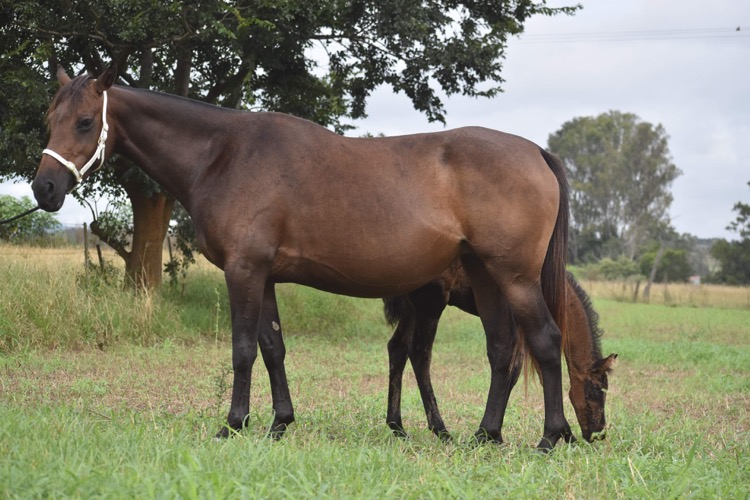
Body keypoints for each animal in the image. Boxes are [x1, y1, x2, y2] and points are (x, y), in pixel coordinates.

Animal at [32, 64, 573, 450]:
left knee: (545, 340)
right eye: (50, 121)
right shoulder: (264, 275)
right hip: (486, 275)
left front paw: (232, 425)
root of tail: (535, 152)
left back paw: (550, 437)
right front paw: (279, 424)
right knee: (502, 349)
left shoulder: (244, 271)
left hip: (514, 276)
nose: (44, 189)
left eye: (85, 122)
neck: (224, 154)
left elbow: (243, 350)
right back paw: (486, 435)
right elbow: (273, 348)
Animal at [383, 265, 617, 443]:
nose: (598, 434)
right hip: (431, 302)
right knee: (419, 354)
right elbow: (518, 371)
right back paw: (441, 430)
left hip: (412, 308)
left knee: (397, 348)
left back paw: (397, 427)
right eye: (597, 392)